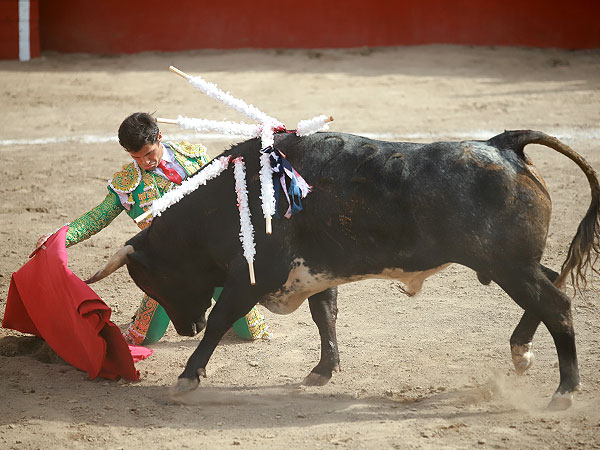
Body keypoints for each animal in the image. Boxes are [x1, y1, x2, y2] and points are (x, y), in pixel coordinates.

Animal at [87, 130, 599, 410]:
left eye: (153, 278)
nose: (184, 328)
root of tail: (503, 145)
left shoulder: (254, 276)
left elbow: (221, 319)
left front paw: (187, 378)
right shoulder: (314, 272)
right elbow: (324, 316)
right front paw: (322, 371)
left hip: (508, 265)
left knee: (557, 303)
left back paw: (564, 392)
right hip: (515, 264)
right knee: (551, 283)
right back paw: (521, 353)